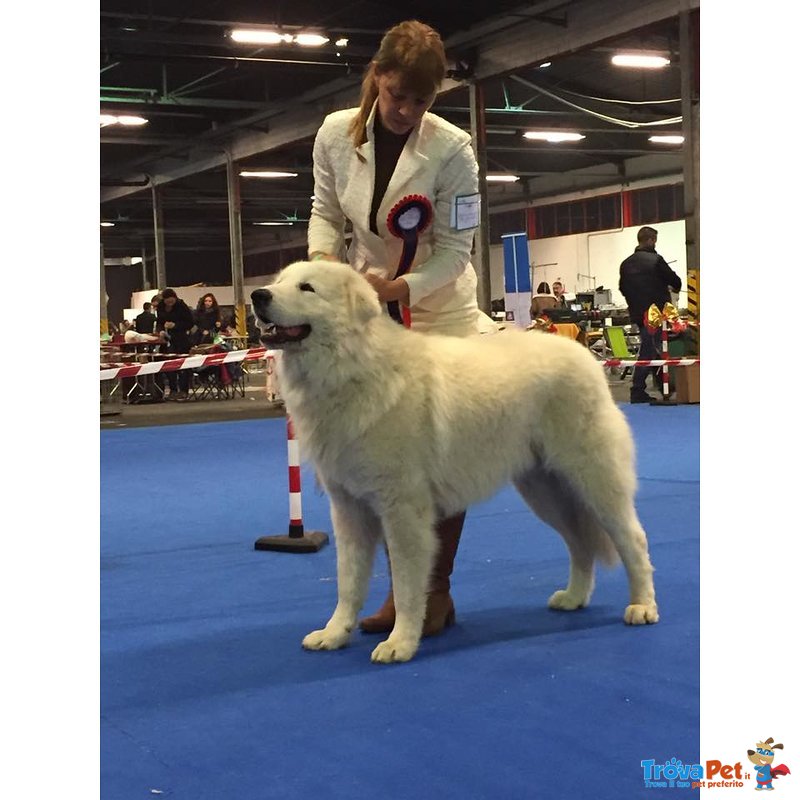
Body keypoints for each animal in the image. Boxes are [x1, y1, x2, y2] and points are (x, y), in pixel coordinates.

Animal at [253, 260, 660, 664]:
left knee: (633, 539)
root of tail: (584, 357)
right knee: (580, 543)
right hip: (546, 493)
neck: (351, 367)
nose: (258, 296)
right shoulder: (349, 510)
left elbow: (406, 585)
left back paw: (642, 607)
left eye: (307, 288)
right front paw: (334, 633)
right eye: (279, 282)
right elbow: (348, 581)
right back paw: (574, 597)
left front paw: (401, 642)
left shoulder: (403, 511)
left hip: (595, 482)